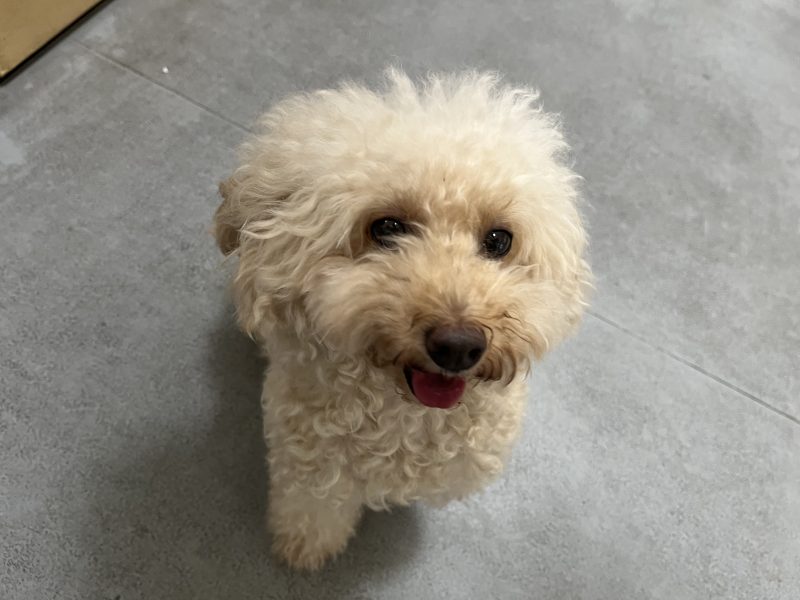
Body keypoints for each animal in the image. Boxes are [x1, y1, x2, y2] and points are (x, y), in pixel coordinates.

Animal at [213, 69, 590, 570]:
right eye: (387, 228)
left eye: (498, 239)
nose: (459, 345)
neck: (406, 421)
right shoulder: (309, 464)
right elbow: (315, 508)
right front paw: (305, 547)